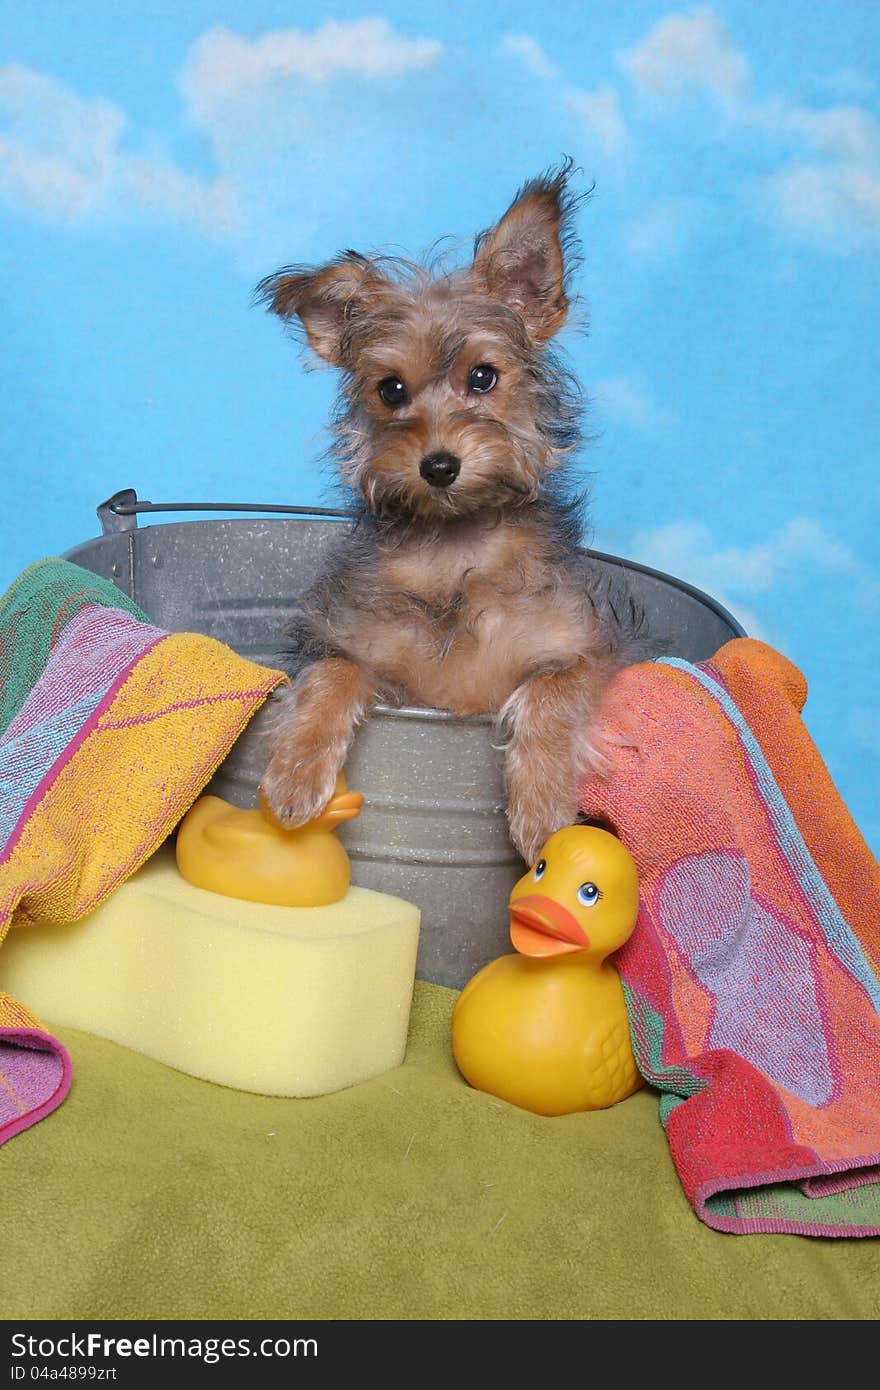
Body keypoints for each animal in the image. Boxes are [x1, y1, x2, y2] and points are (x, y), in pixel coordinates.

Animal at [257, 157, 642, 861]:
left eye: (483, 377)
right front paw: (295, 773)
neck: (454, 549)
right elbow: (330, 673)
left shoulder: (590, 650)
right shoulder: (359, 648)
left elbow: (550, 692)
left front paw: (542, 807)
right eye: (391, 389)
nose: (438, 466)